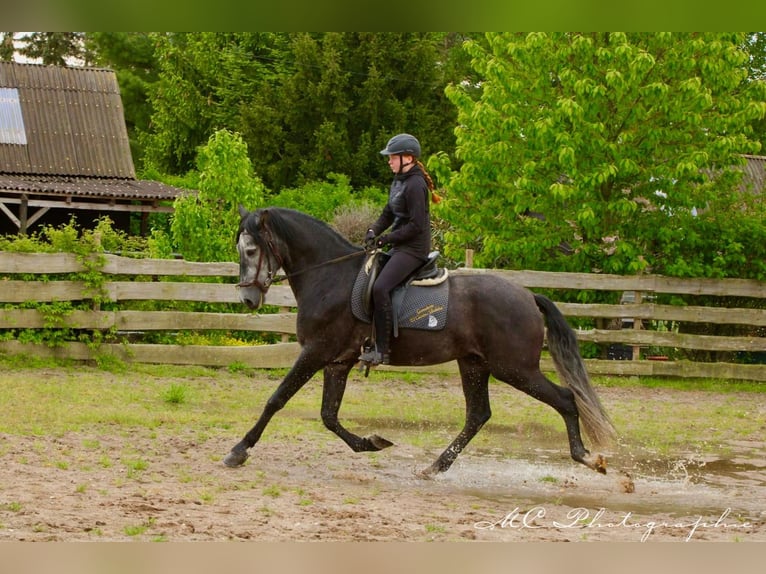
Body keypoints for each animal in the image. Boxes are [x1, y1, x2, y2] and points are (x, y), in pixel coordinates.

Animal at [224, 206, 616, 478]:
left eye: (252, 251)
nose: (248, 299)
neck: (330, 277)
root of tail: (527, 295)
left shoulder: (315, 352)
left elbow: (276, 400)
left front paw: (239, 450)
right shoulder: (337, 361)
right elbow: (328, 416)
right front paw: (372, 443)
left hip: (515, 368)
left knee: (565, 400)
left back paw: (587, 457)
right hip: (475, 365)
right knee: (478, 415)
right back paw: (436, 467)